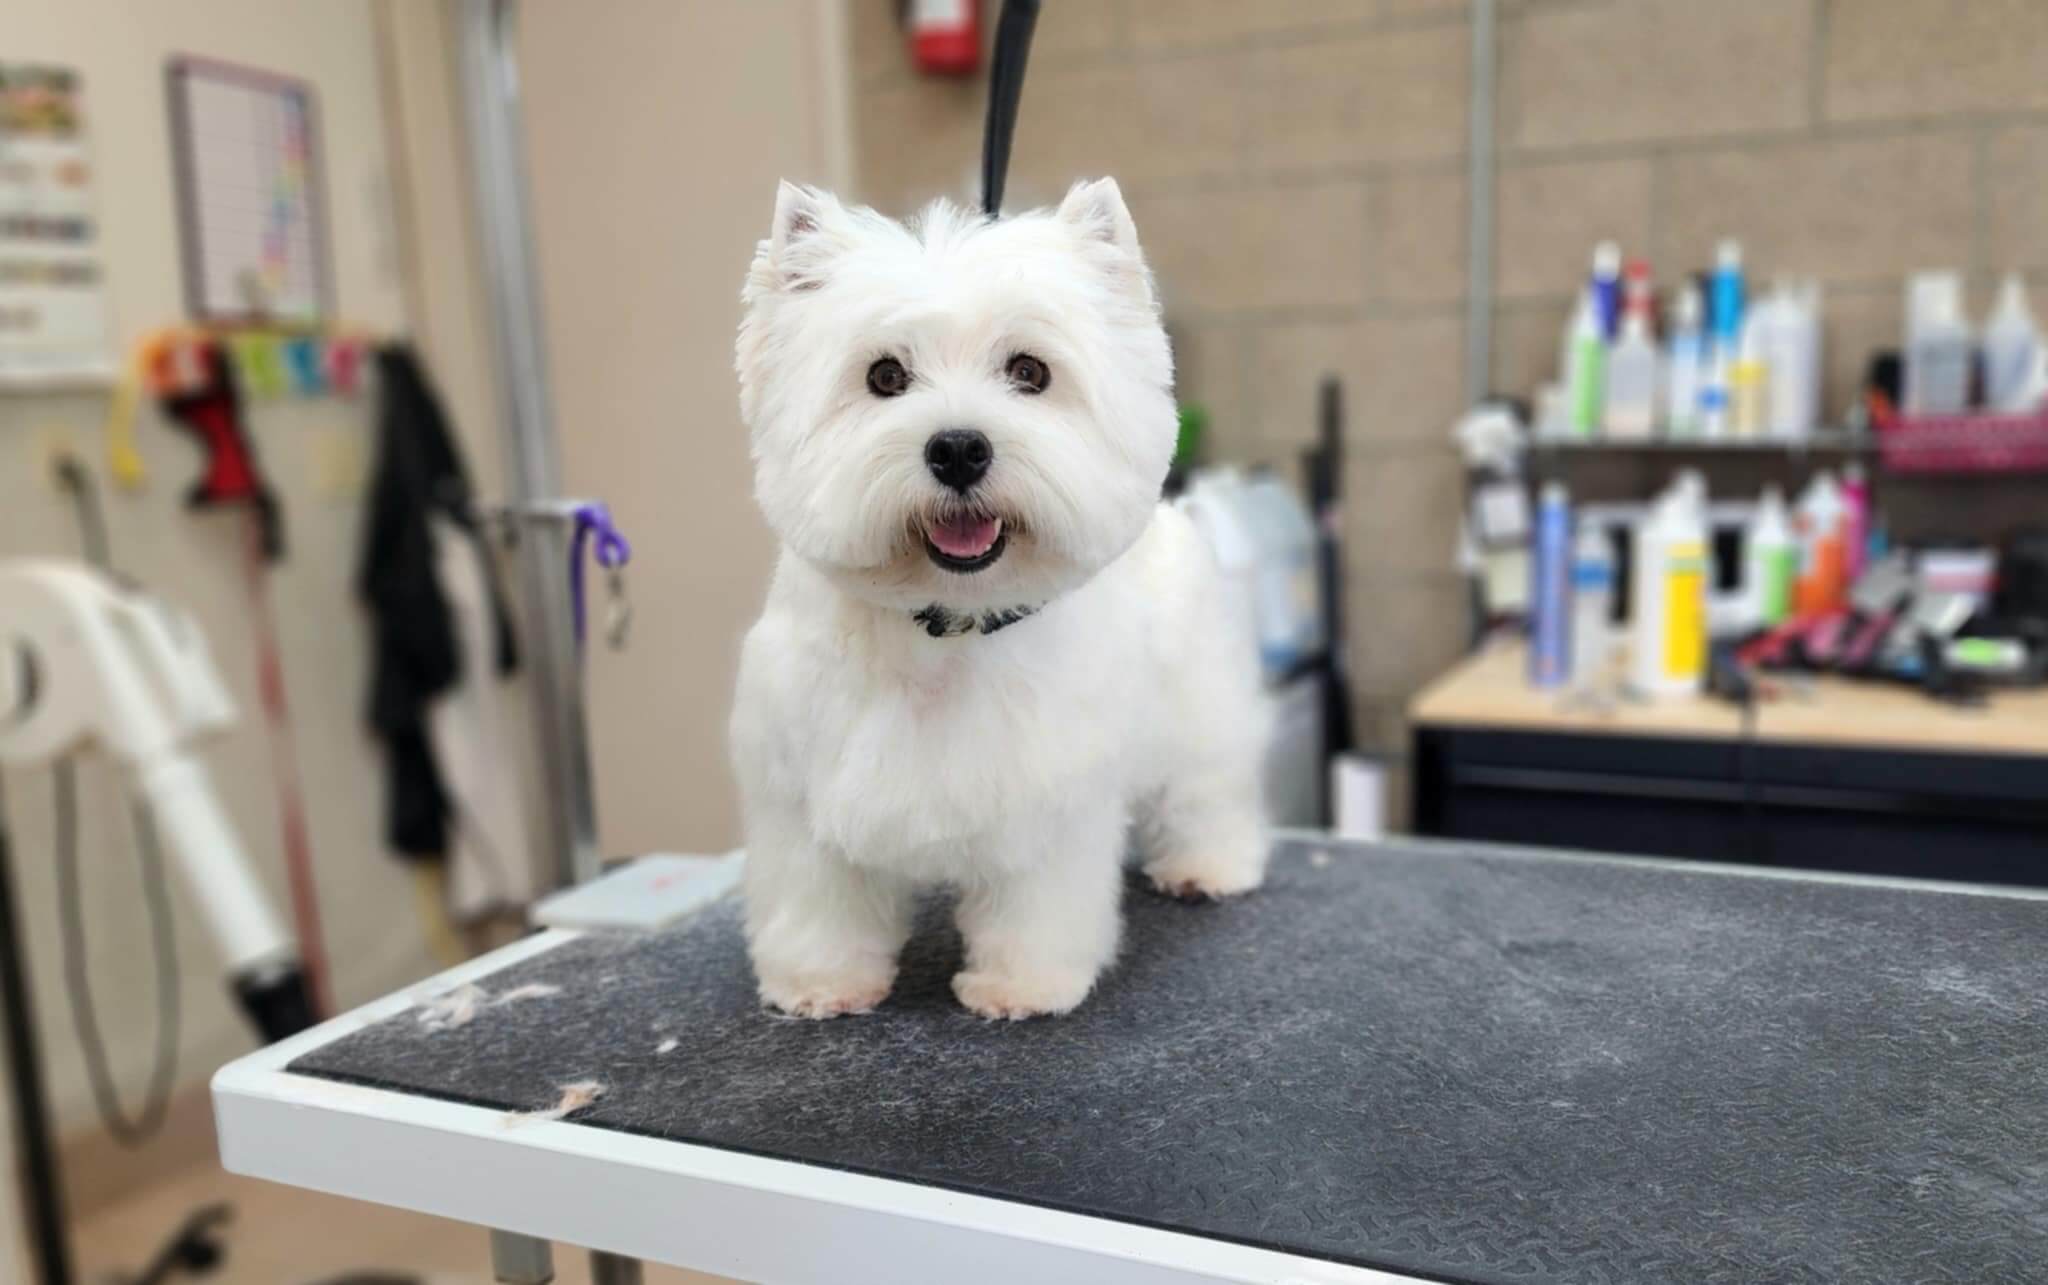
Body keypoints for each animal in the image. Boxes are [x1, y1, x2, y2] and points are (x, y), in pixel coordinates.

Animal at [731, 177, 1270, 1020]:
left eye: (1029, 371)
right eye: (885, 376)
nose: (958, 447)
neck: (944, 628)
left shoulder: (1047, 799)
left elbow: (1036, 903)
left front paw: (1023, 984)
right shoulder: (801, 793)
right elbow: (820, 901)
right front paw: (821, 980)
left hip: (1198, 709)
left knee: (1207, 787)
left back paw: (1211, 866)